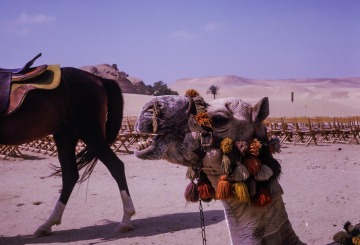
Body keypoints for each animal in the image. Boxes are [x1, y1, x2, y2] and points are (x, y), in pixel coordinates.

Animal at [0, 64, 135, 235]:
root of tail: (100, 80)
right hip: (65, 135)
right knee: (70, 175)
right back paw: (48, 223)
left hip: (89, 131)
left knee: (116, 166)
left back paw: (126, 219)